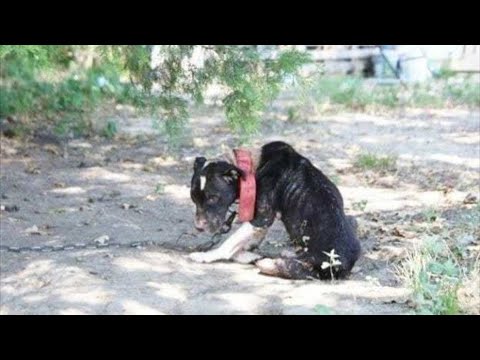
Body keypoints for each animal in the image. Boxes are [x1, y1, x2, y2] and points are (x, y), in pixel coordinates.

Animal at [188, 141, 360, 282]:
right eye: (193, 198)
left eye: (213, 198)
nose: (198, 228)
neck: (253, 165)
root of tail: (344, 265)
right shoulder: (261, 222)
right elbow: (246, 241)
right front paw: (244, 253)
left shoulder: (262, 217)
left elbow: (230, 242)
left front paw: (207, 256)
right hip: (351, 221)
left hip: (307, 265)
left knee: (280, 267)